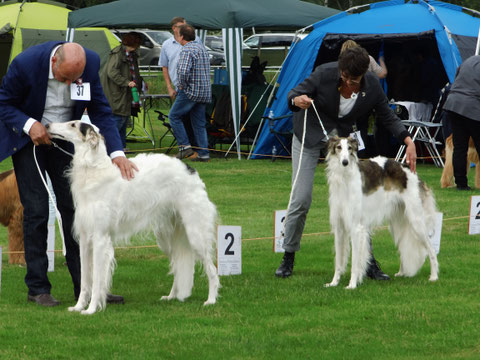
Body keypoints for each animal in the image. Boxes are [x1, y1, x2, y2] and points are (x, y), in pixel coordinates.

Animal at [47, 119, 219, 314]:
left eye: (73, 125)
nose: (47, 126)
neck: (94, 169)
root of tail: (190, 170)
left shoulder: (100, 237)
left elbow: (97, 280)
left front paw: (91, 309)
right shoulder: (84, 238)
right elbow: (85, 280)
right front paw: (78, 307)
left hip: (195, 233)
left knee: (212, 269)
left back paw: (211, 300)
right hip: (167, 237)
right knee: (177, 265)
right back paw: (171, 296)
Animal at [322, 136, 438, 290]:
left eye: (350, 148)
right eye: (339, 147)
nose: (345, 162)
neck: (345, 178)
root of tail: (408, 169)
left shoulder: (356, 228)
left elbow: (354, 262)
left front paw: (352, 285)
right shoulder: (339, 227)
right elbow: (339, 262)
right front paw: (334, 283)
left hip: (416, 220)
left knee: (431, 249)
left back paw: (434, 276)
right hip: (398, 223)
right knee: (403, 248)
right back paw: (402, 272)